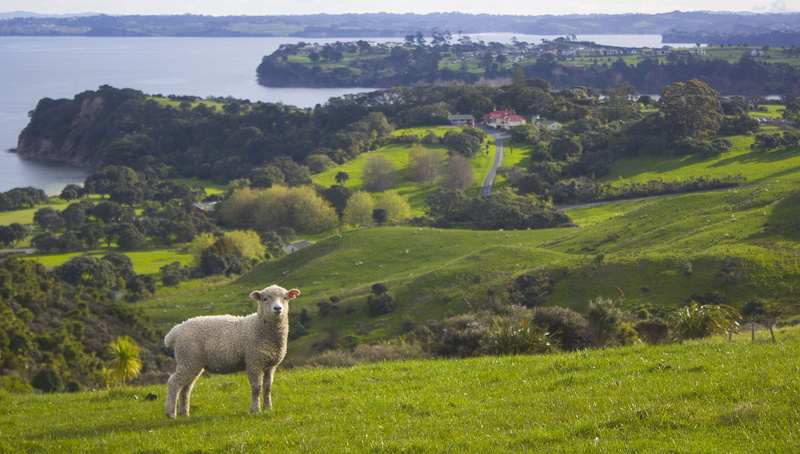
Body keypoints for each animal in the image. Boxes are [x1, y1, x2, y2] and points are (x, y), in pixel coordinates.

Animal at [164, 285, 300, 418]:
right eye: (265, 299)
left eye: (285, 298)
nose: (277, 308)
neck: (259, 327)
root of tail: (176, 330)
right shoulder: (254, 361)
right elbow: (257, 387)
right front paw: (255, 410)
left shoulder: (270, 365)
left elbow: (268, 388)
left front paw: (268, 408)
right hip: (187, 357)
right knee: (174, 383)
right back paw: (171, 413)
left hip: (192, 362)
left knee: (186, 388)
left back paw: (184, 413)